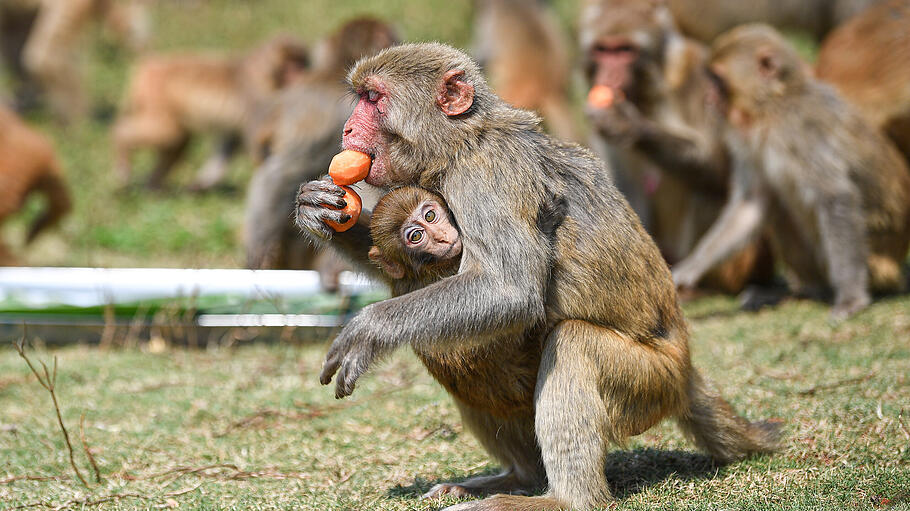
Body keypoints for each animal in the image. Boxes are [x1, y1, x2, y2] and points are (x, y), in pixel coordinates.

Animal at [296, 42, 780, 510]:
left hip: (650, 382)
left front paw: (368, 330)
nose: (347, 131)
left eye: (373, 99)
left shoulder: (486, 178)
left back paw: (565, 499)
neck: (461, 143)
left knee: (570, 342)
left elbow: (510, 292)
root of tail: (685, 366)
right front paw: (317, 208)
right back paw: (519, 478)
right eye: (360, 98)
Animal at [672, 25, 910, 320]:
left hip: (876, 263)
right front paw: (690, 269)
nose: (708, 98)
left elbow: (835, 197)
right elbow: (751, 205)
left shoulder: (801, 129)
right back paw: (804, 291)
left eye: (717, 79)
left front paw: (851, 298)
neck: (773, 106)